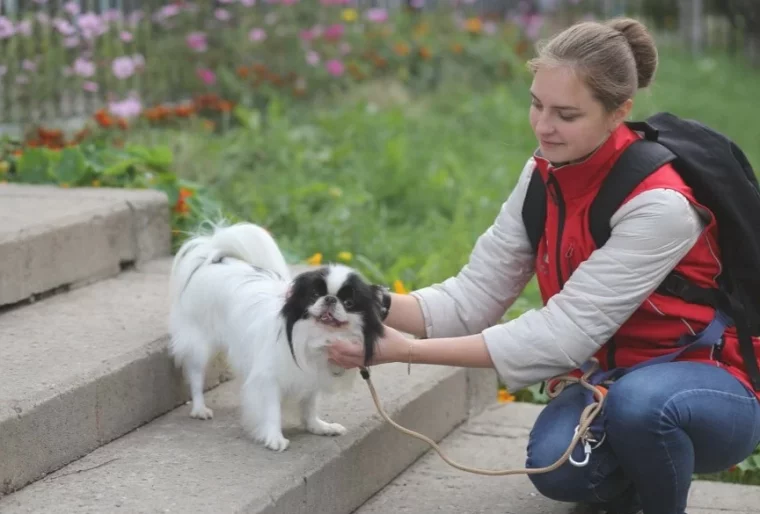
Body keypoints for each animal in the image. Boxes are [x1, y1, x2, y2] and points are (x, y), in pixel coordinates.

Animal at [171, 220, 386, 448]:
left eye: (349, 303)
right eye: (314, 295)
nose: (330, 299)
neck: (316, 335)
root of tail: (212, 257)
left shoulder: (311, 374)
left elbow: (309, 404)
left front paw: (317, 427)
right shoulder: (269, 377)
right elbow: (272, 410)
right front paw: (274, 438)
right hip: (199, 346)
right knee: (196, 376)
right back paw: (199, 409)